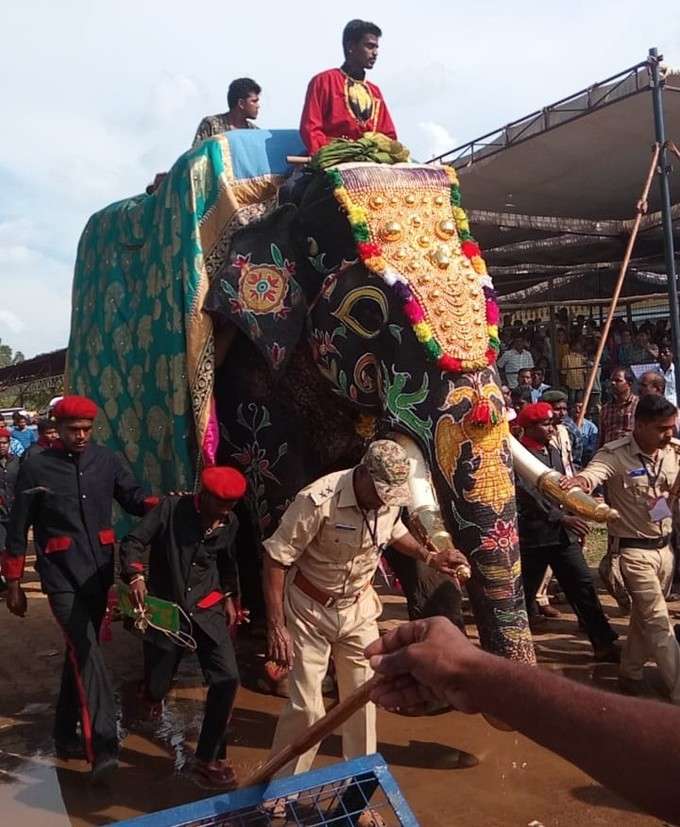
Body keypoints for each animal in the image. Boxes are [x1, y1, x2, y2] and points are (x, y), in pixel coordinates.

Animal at [203, 162, 536, 668]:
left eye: (490, 303)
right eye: (366, 313)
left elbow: (402, 501)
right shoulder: (251, 382)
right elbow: (276, 491)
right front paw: (284, 666)